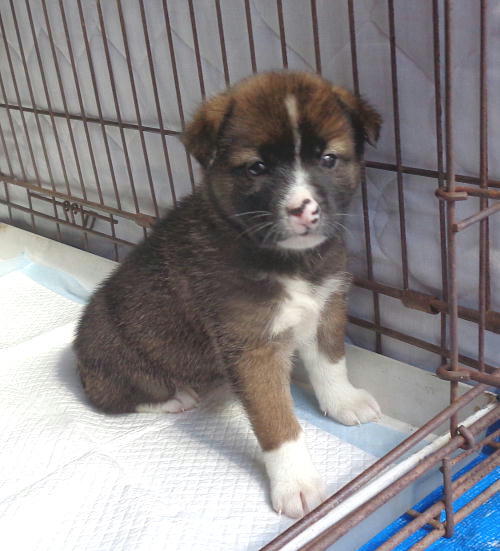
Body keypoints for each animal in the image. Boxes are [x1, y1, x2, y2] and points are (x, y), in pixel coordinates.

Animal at [75, 71, 382, 518]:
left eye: (328, 159)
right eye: (257, 168)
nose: (304, 210)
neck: (285, 259)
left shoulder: (325, 304)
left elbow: (330, 361)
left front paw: (344, 401)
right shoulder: (251, 345)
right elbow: (277, 421)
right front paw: (296, 483)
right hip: (114, 359)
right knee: (116, 397)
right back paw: (175, 398)